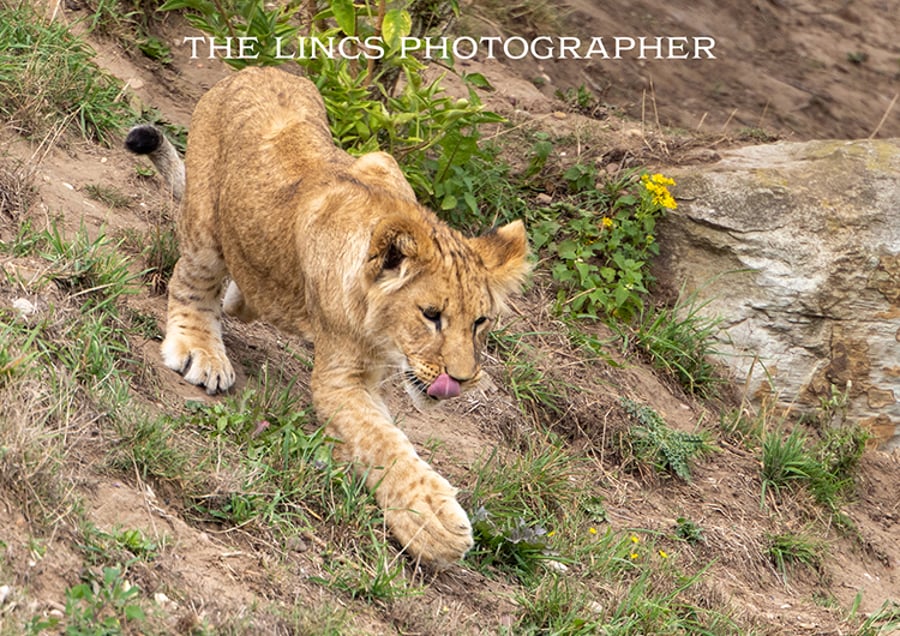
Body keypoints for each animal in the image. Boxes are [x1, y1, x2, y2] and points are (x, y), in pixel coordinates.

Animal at [125, 66, 529, 564]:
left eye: (480, 322)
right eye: (431, 315)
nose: (461, 379)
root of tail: (254, 69)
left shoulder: (380, 164)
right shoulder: (343, 378)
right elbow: (382, 443)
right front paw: (432, 522)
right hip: (204, 222)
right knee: (191, 283)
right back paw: (201, 349)